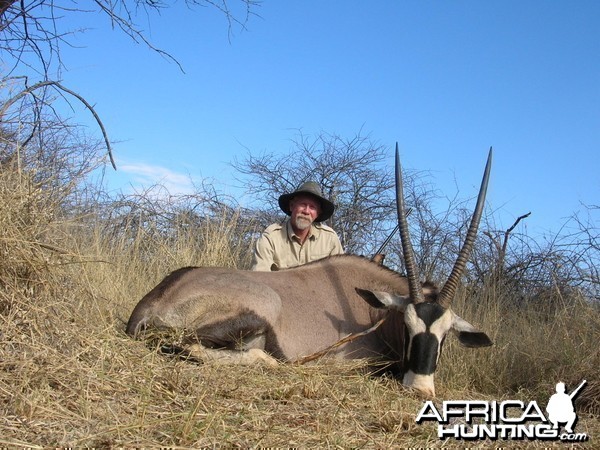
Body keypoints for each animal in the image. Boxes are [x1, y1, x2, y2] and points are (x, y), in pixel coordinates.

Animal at [125, 146, 492, 396]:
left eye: (445, 334)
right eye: (407, 325)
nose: (420, 390)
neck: (374, 314)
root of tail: (157, 296)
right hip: (254, 313)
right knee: (184, 344)